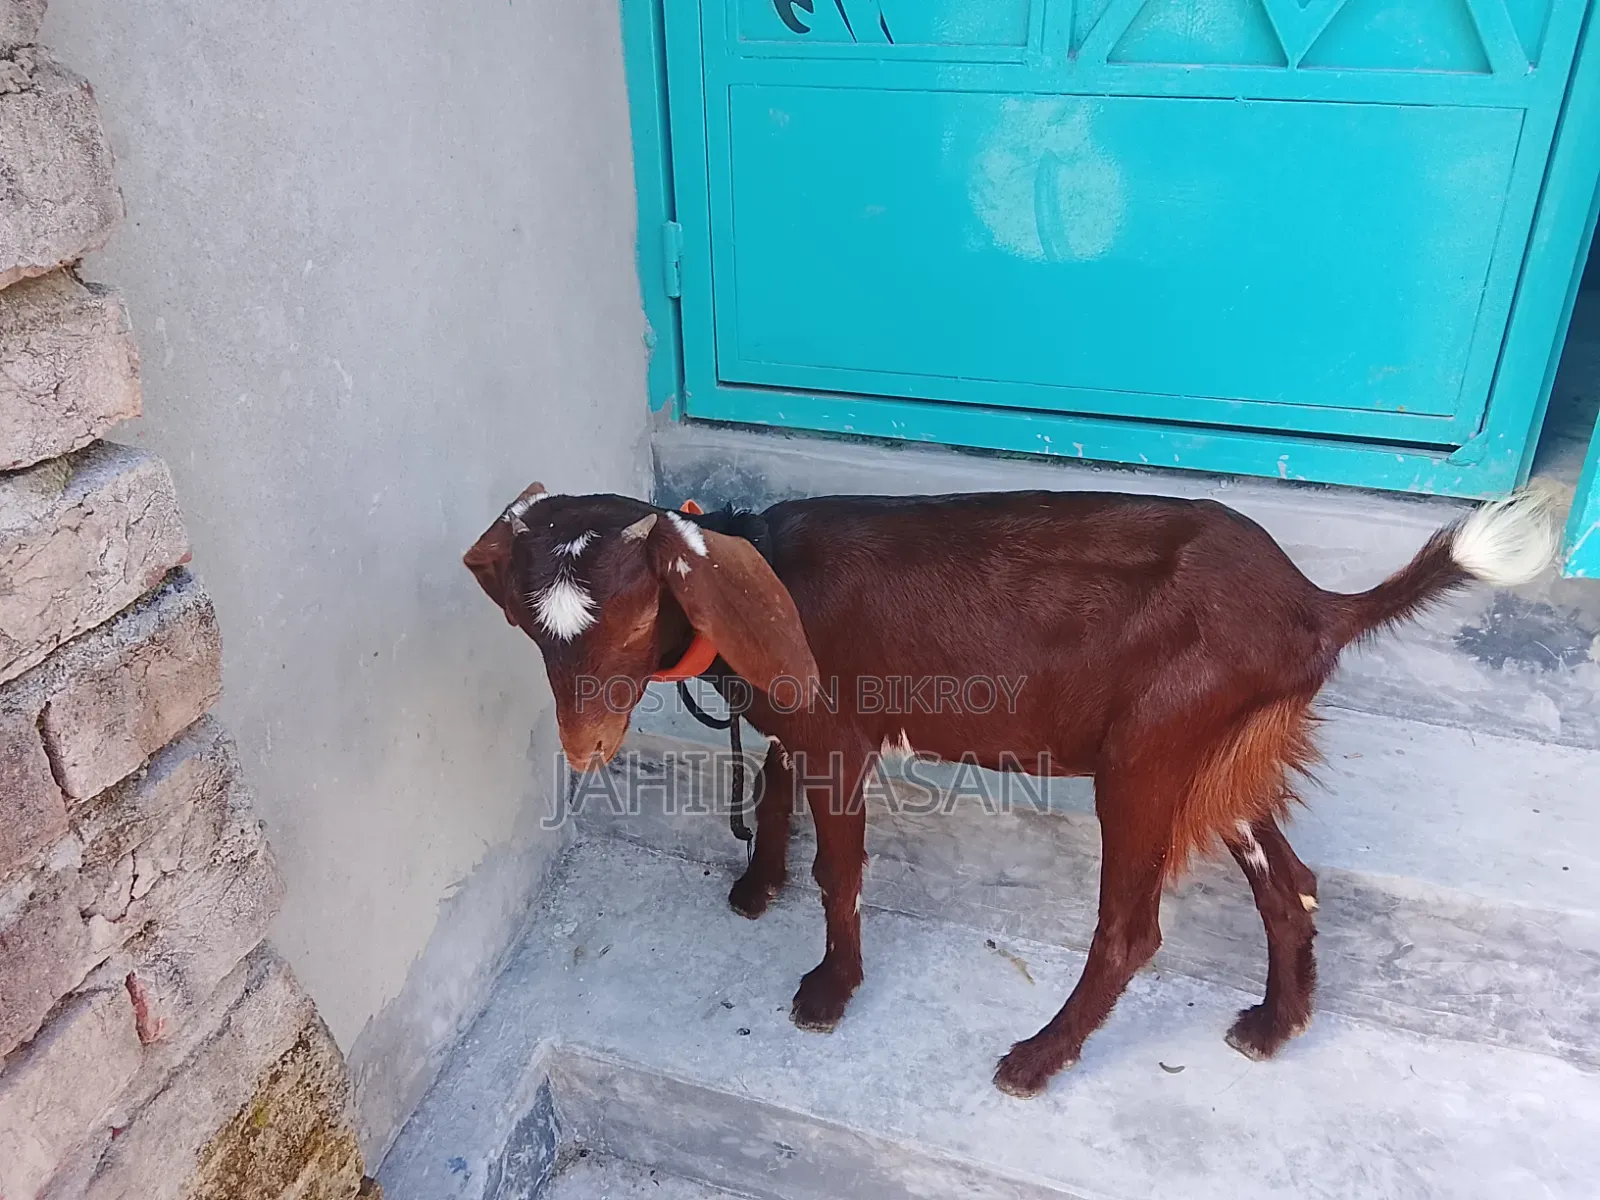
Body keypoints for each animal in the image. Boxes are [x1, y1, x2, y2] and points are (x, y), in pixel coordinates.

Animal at [463, 481, 1556, 1096]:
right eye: (531, 624)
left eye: (632, 612)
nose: (585, 747)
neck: (755, 569)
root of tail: (1315, 607)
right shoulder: (797, 724)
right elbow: (771, 789)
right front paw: (755, 885)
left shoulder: (840, 736)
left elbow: (841, 873)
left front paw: (828, 992)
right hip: (1217, 758)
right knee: (1291, 883)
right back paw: (1274, 1025)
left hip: (1148, 755)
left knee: (1133, 933)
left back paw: (1035, 1059)